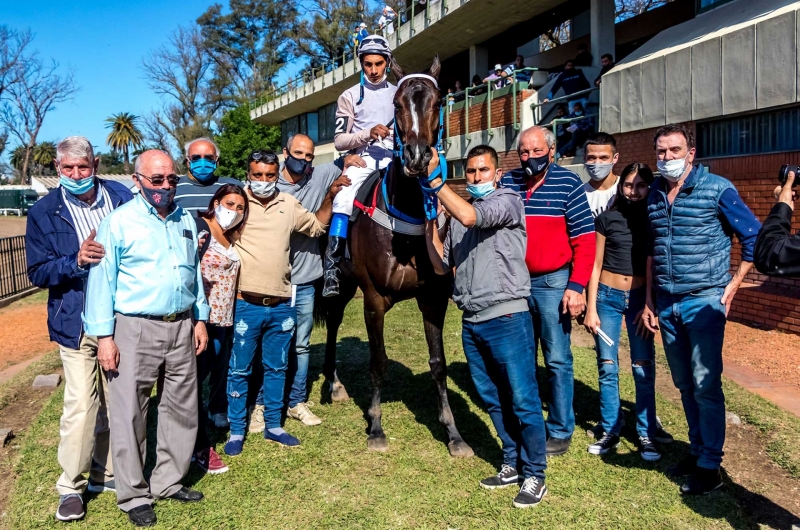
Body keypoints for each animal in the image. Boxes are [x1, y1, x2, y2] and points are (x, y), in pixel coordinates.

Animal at [320, 56, 476, 454]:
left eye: (438, 101)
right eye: (397, 105)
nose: (417, 157)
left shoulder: (433, 298)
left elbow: (438, 363)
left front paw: (454, 433)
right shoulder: (374, 298)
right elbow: (378, 361)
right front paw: (375, 426)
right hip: (343, 285)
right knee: (333, 323)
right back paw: (333, 383)